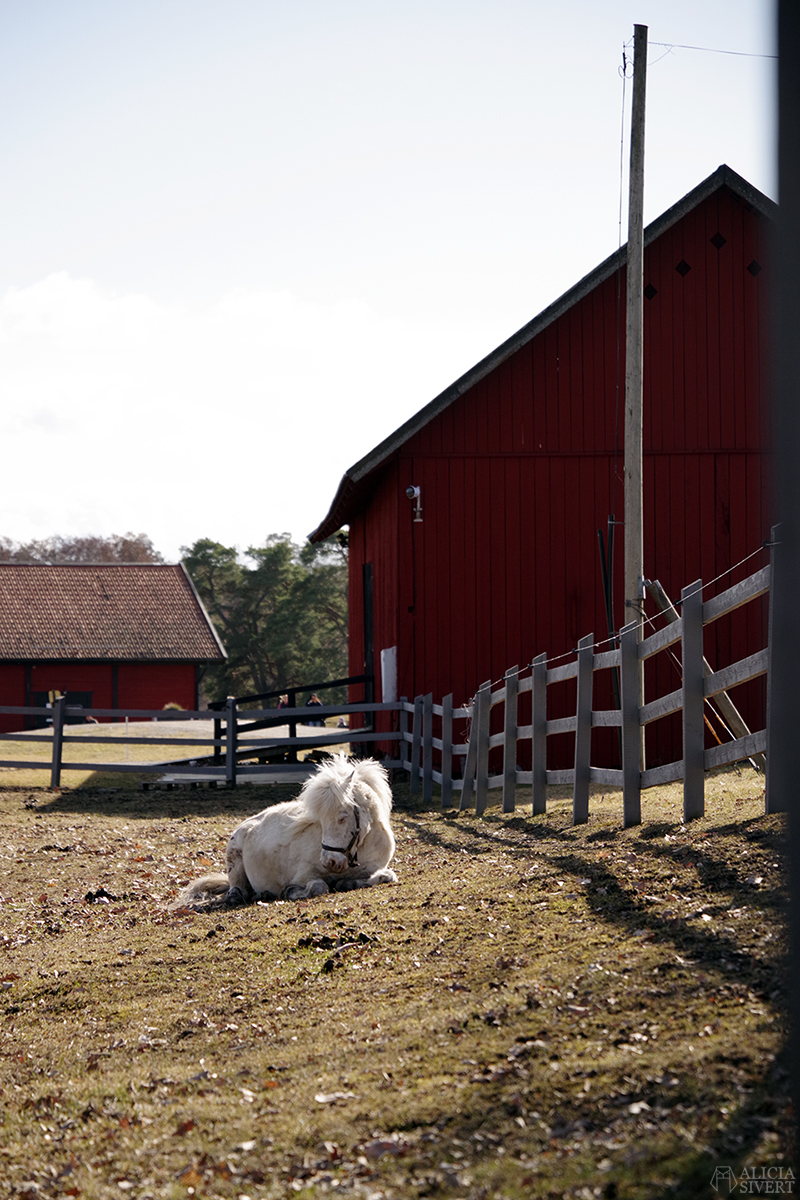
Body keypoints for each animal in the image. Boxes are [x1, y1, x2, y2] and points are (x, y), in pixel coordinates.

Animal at [172, 753, 398, 912]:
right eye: (321, 821)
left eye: (342, 817)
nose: (330, 862)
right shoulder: (304, 875)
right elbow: (318, 886)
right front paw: (291, 891)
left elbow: (385, 876)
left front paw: (348, 882)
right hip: (234, 863)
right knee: (237, 892)